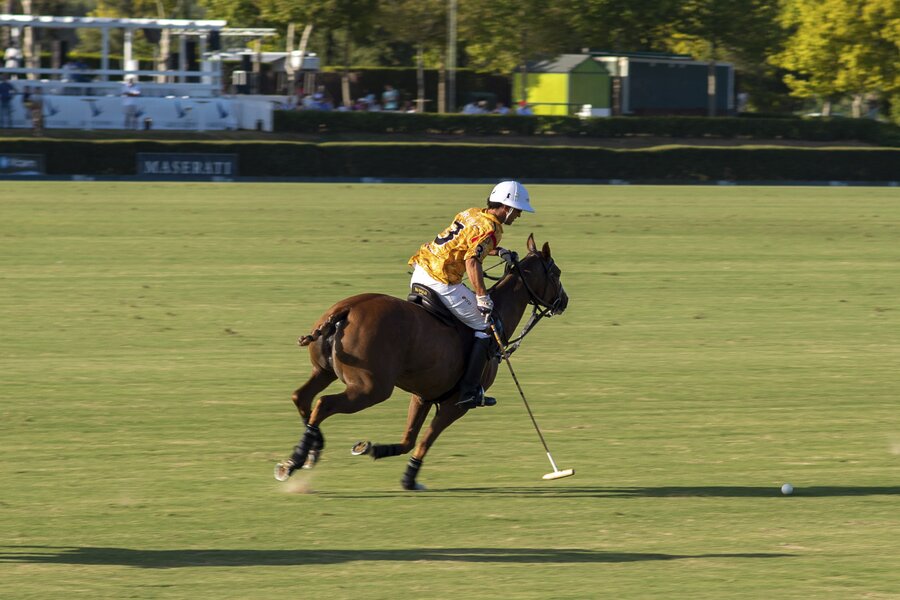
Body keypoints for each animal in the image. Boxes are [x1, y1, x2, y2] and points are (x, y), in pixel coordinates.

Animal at [274, 232, 568, 490]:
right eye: (556, 273)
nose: (564, 301)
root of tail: (345, 310)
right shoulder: (455, 404)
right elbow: (425, 441)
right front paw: (409, 479)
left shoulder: (423, 395)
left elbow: (408, 439)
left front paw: (371, 448)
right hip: (370, 388)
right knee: (323, 403)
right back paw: (294, 461)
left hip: (324, 370)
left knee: (301, 397)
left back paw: (312, 450)